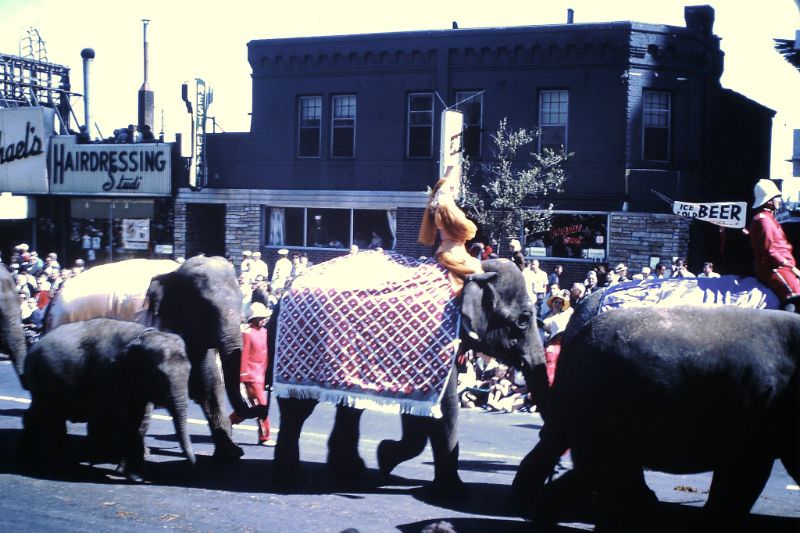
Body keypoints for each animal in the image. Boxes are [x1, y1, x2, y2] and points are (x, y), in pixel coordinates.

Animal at [21, 316, 197, 478]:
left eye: (190, 370)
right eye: (159, 376)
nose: (193, 463)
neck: (144, 335)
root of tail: (33, 348)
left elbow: (136, 419)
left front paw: (134, 474)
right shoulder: (109, 373)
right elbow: (121, 418)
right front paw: (128, 473)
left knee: (43, 414)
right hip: (44, 382)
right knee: (47, 414)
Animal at [274, 258, 544, 494]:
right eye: (523, 320)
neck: (470, 270)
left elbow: (420, 410)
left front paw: (384, 457)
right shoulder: (435, 342)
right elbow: (444, 408)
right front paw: (454, 493)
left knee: (348, 406)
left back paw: (350, 471)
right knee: (297, 410)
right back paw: (292, 477)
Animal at [512, 304, 800, 528]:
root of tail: (578, 337)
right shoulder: (757, 406)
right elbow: (745, 475)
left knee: (586, 459)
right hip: (601, 401)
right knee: (600, 466)